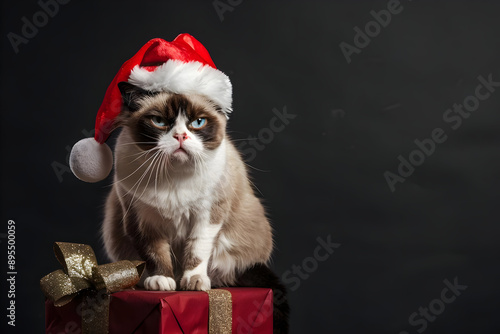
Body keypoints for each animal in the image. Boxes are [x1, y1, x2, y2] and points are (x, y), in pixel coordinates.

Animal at [101, 81, 290, 332]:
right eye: (159, 121)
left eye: (198, 122)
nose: (180, 136)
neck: (173, 177)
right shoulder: (142, 221)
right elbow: (155, 254)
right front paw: (162, 280)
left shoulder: (208, 216)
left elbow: (197, 250)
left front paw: (193, 281)